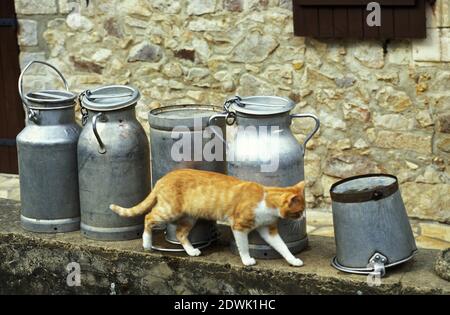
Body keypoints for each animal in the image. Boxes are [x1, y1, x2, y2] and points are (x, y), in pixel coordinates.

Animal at [110, 169, 306, 268]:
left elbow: (283, 246)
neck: (265, 200)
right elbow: (243, 246)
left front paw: (293, 260)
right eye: (300, 211)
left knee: (181, 233)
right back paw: (147, 243)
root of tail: (162, 178)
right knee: (148, 217)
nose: (303, 216)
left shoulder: (268, 230)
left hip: (189, 217)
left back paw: (191, 251)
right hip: (169, 211)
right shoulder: (239, 226)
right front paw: (247, 260)